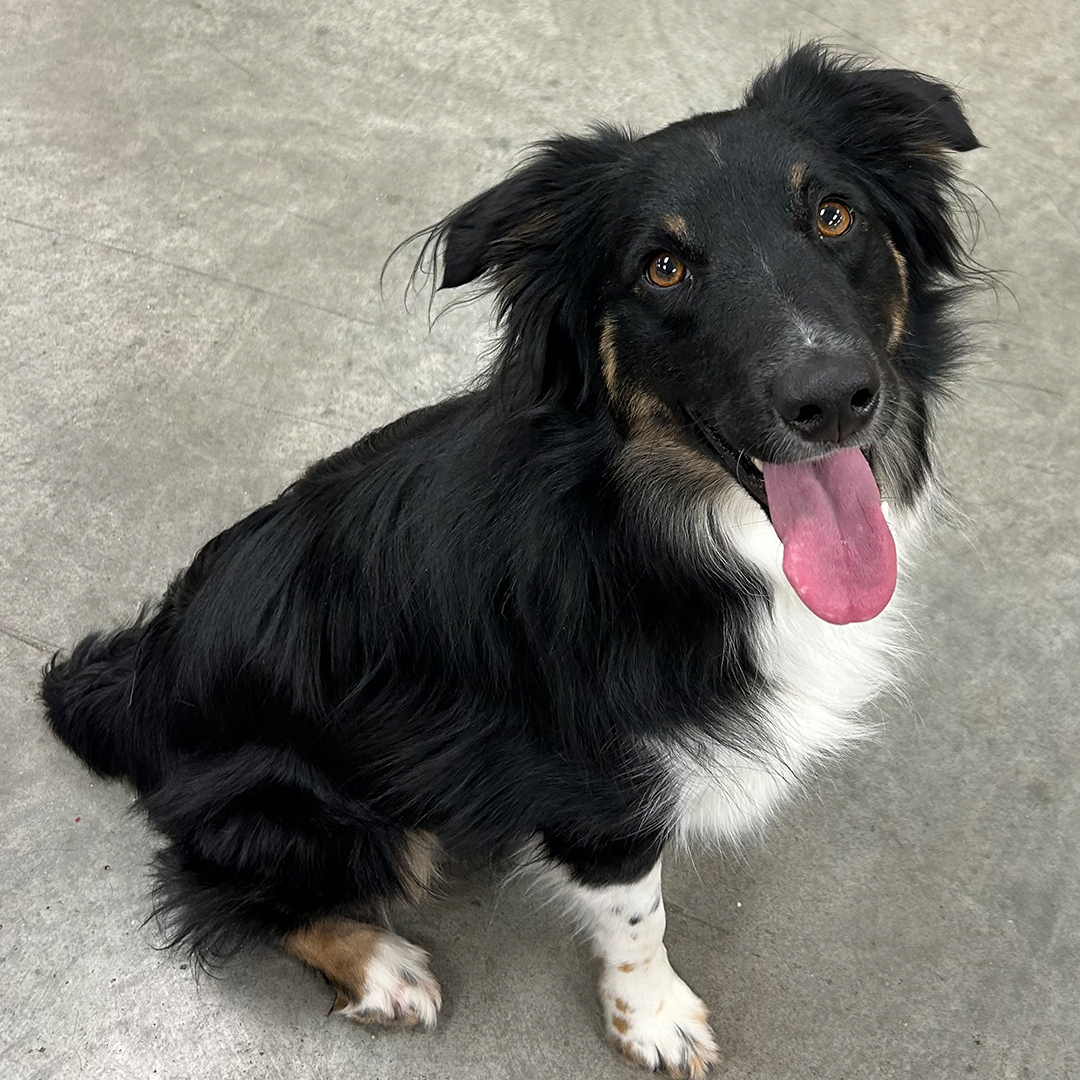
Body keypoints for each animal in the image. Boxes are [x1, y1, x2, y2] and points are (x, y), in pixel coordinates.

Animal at [39, 44, 980, 1080]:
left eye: (834, 215)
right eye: (661, 267)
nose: (833, 397)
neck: (672, 531)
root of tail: (136, 687)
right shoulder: (598, 788)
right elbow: (638, 915)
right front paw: (654, 1020)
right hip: (312, 809)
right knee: (226, 892)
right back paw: (383, 968)